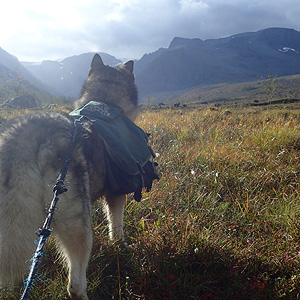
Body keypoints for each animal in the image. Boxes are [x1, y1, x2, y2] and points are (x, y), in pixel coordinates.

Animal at [0, 54, 138, 300]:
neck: (103, 103)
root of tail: (27, 136)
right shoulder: (116, 194)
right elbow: (117, 226)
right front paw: (121, 246)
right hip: (78, 225)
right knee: (74, 285)